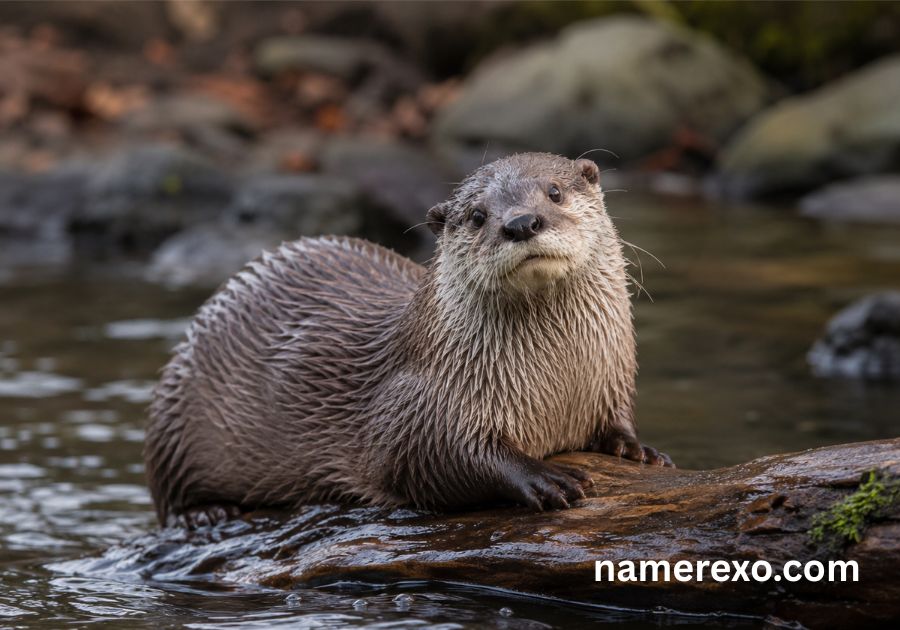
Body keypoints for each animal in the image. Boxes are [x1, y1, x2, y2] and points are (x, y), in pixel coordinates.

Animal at [145, 152, 673, 526]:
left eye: (555, 191)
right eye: (477, 215)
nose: (521, 223)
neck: (559, 384)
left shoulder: (611, 375)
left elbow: (617, 418)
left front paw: (638, 450)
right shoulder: (421, 402)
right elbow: (432, 455)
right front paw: (545, 478)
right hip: (175, 412)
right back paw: (205, 513)